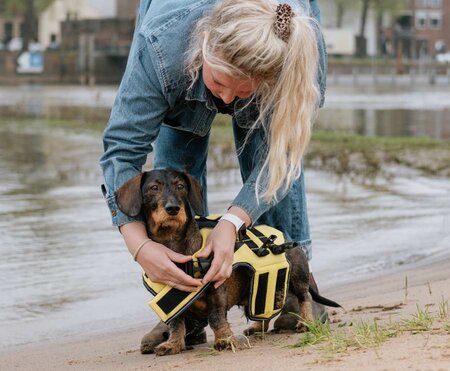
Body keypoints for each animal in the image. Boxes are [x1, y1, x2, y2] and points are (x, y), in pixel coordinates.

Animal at [117, 169, 342, 358]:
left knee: (304, 299)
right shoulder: (174, 302)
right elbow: (176, 323)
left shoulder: (217, 290)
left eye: (180, 186)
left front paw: (225, 340)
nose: (173, 208)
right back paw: (257, 328)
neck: (173, 242)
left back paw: (306, 322)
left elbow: (216, 318)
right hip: (258, 291)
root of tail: (287, 238)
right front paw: (173, 344)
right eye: (153, 188)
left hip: (297, 278)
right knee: (264, 309)